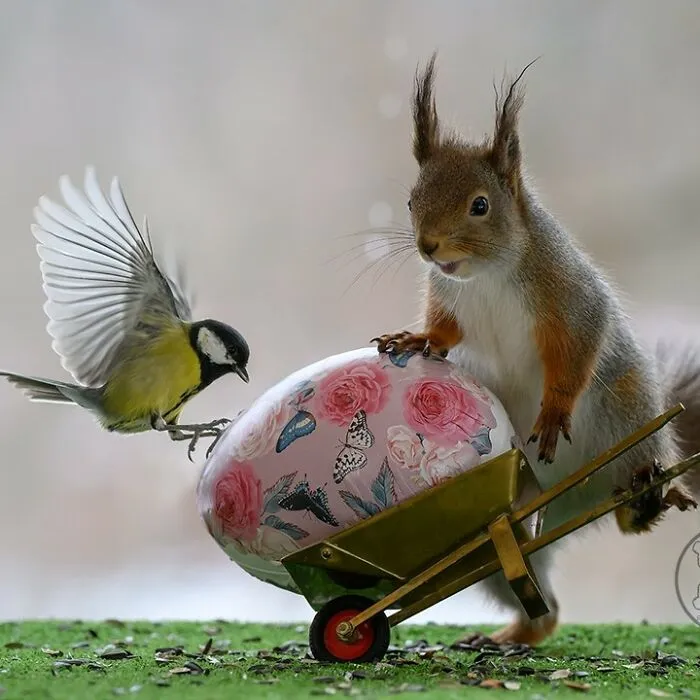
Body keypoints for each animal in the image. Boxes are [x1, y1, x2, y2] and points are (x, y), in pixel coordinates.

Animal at [371, 54, 699, 646]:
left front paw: (552, 413)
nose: (429, 246)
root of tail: (575, 500)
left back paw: (647, 489)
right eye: (410, 200)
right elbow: (446, 334)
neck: (485, 274)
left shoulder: (567, 298)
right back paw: (510, 635)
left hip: (629, 410)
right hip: (497, 536)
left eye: (480, 205)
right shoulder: (448, 298)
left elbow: (575, 349)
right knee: (532, 593)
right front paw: (416, 339)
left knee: (643, 480)